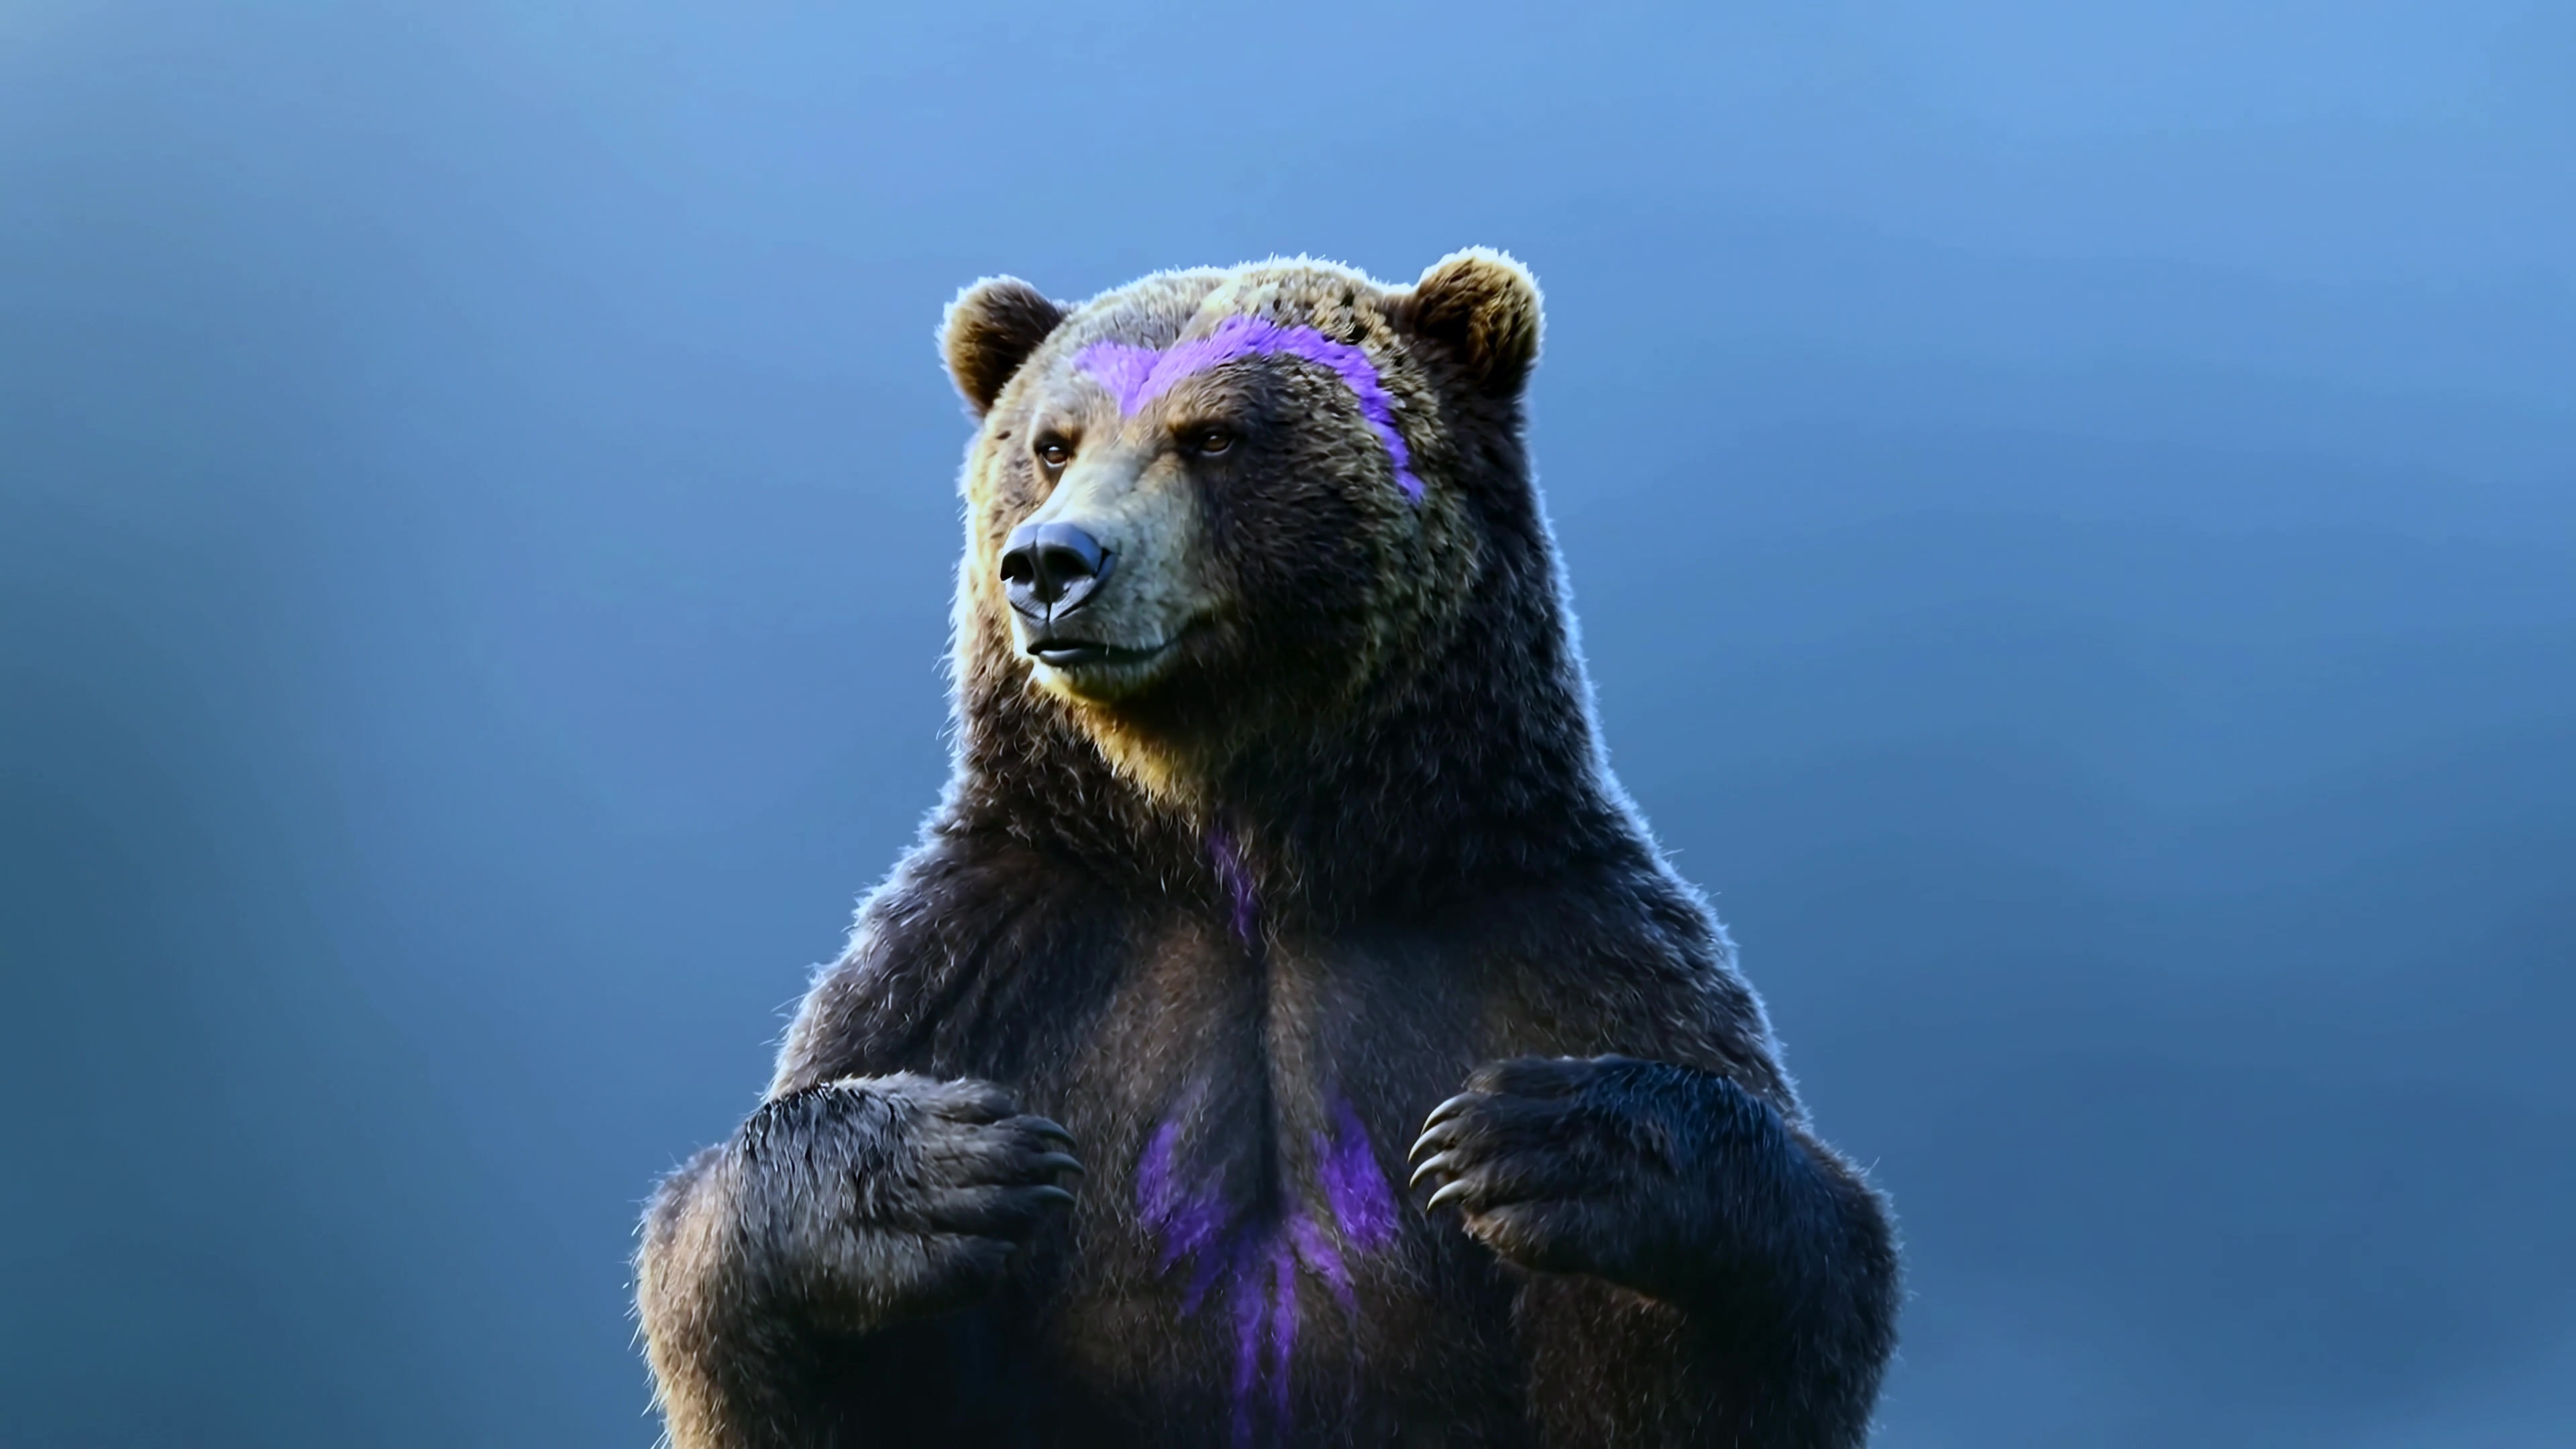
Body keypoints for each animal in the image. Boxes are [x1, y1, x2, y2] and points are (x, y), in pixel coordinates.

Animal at [634, 251, 1900, 1448]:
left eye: (1214, 435)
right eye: (1051, 443)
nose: (1052, 562)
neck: (1249, 857)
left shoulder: (1554, 937)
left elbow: (1736, 1331)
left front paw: (1549, 1144)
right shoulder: (987, 956)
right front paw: (937, 1169)